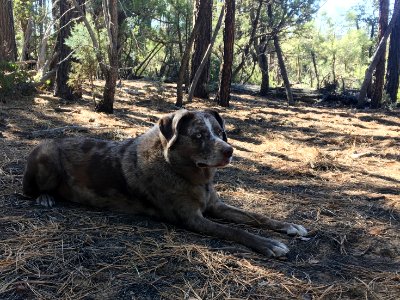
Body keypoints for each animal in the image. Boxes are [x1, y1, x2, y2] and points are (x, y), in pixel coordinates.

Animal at [23, 110, 308, 258]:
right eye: (199, 135)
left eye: (220, 132)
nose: (229, 151)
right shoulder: (192, 218)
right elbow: (235, 231)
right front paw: (269, 244)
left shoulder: (216, 205)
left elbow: (255, 216)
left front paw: (289, 226)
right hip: (47, 155)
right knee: (31, 190)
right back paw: (45, 197)